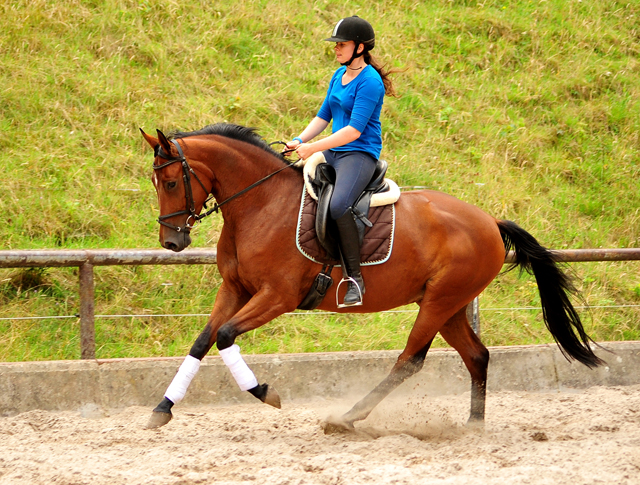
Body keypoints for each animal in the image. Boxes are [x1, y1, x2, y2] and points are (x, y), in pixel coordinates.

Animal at [141, 122, 604, 432]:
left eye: (171, 182)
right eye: (157, 182)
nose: (172, 241)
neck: (260, 204)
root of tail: (490, 220)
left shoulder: (278, 296)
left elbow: (225, 336)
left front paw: (266, 393)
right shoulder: (235, 289)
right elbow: (203, 340)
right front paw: (162, 408)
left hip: (440, 301)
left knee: (410, 360)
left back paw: (348, 417)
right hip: (448, 304)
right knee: (476, 356)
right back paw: (473, 426)